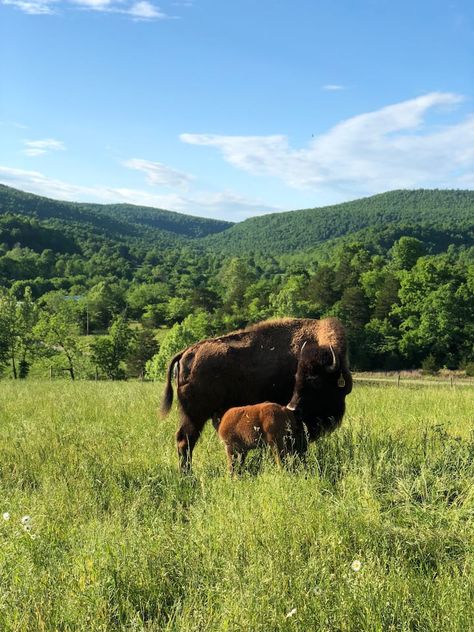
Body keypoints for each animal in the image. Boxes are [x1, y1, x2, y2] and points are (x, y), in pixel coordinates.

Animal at [163, 316, 352, 470]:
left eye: (316, 380)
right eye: (298, 377)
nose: (292, 408)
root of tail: (187, 353)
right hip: (194, 415)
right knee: (185, 441)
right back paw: (187, 475)